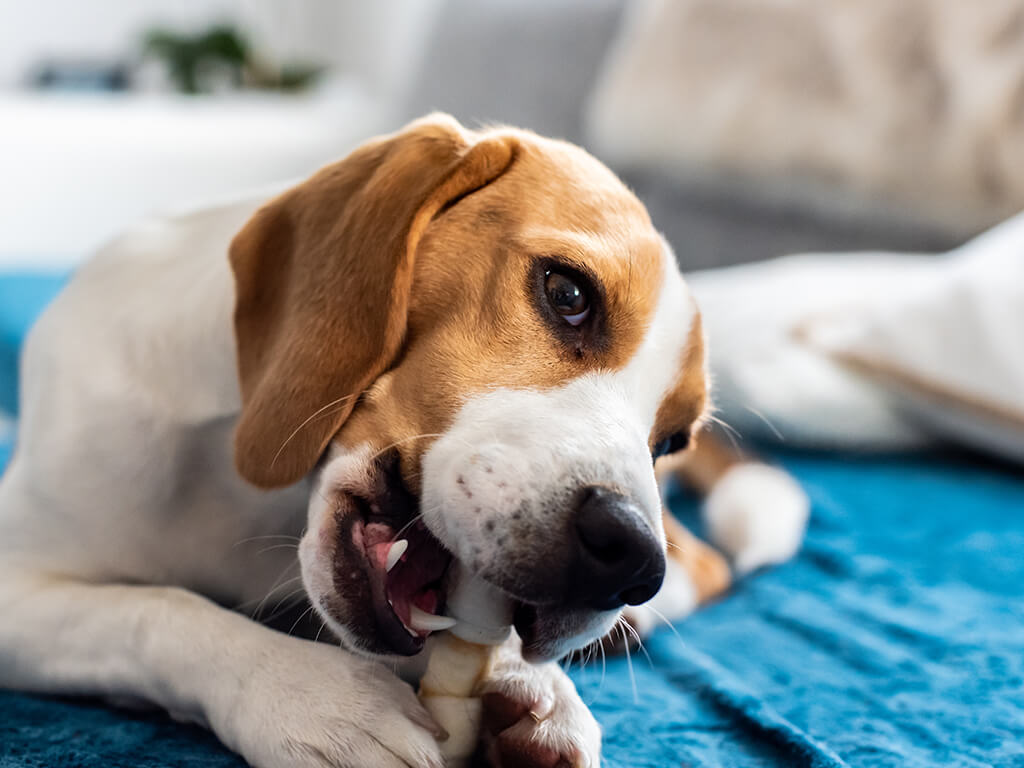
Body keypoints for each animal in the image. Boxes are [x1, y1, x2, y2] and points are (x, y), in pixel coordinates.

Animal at [0, 115, 806, 768]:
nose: (630, 559)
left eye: (669, 439)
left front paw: (533, 684)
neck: (250, 501)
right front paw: (314, 698)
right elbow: (158, 611)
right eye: (569, 294)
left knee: (706, 564)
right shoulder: (22, 586)